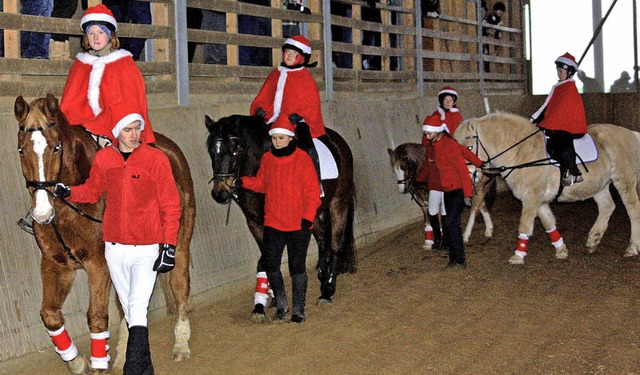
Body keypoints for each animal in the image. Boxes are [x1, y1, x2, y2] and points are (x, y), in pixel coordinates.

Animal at [14, 95, 195, 374]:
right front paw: (76, 361)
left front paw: (98, 365)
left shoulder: (98, 264)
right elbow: (50, 315)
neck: (66, 210)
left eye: (56, 148)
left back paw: (181, 344)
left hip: (180, 244)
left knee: (179, 285)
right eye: (21, 150)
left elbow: (97, 318)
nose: (42, 213)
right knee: (126, 306)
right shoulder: (56, 264)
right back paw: (122, 355)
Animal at [205, 114, 356, 320]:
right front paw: (266, 302)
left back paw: (327, 290)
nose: (219, 193)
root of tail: (337, 140)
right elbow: (267, 260)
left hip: (339, 201)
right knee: (322, 237)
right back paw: (322, 276)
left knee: (335, 243)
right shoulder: (255, 223)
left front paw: (266, 302)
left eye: (235, 149)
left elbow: (268, 259)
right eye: (211, 150)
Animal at [456, 111, 640, 264]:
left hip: (624, 180)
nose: (467, 175)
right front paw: (561, 250)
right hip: (599, 185)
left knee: (633, 210)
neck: (522, 153)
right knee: (607, 207)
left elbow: (524, 225)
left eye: (470, 147)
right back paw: (593, 240)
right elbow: (548, 223)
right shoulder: (538, 200)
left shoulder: (532, 197)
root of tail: (631, 133)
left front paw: (518, 255)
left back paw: (632, 247)